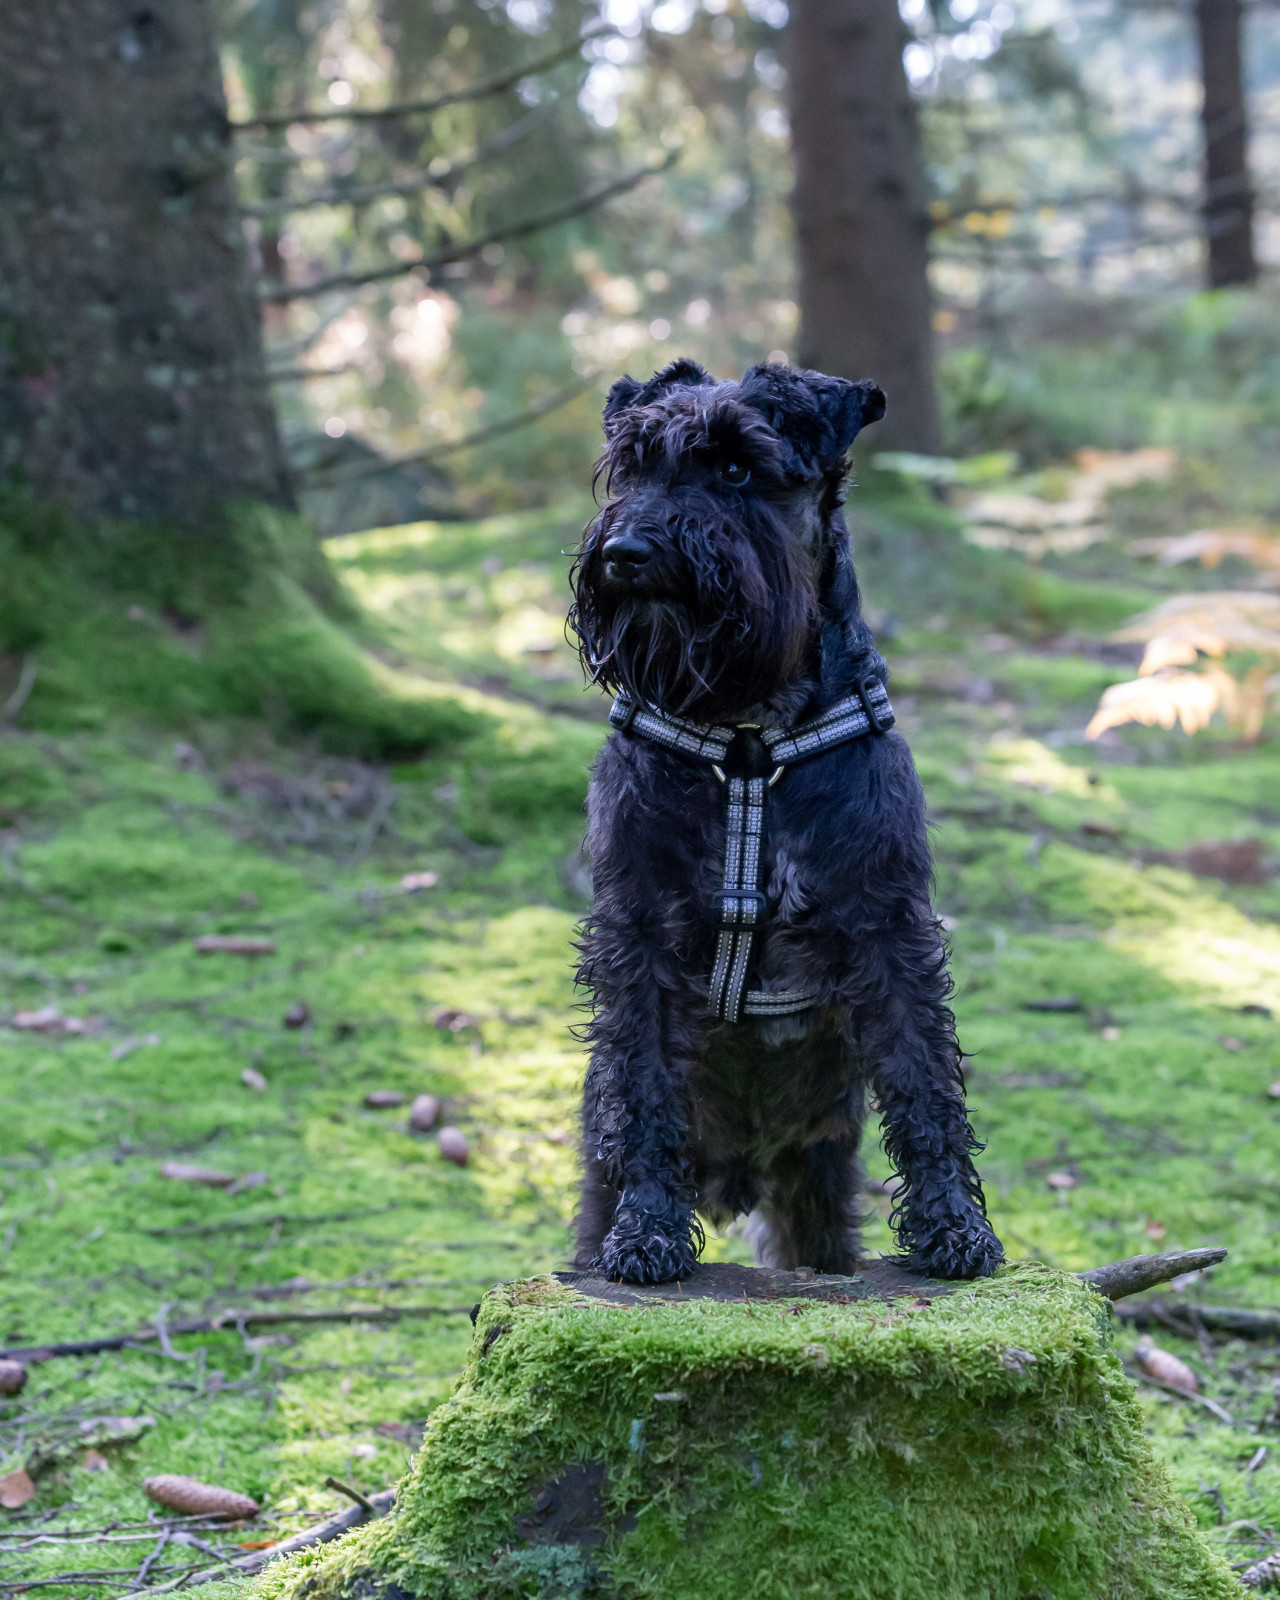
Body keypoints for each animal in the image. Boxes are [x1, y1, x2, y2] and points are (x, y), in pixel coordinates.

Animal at [566, 363, 998, 1286]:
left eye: (736, 470)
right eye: (631, 468)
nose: (627, 555)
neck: (746, 741)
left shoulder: (887, 918)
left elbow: (923, 1077)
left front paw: (955, 1226)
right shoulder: (639, 926)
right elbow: (645, 1080)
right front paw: (648, 1231)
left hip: (818, 1190)